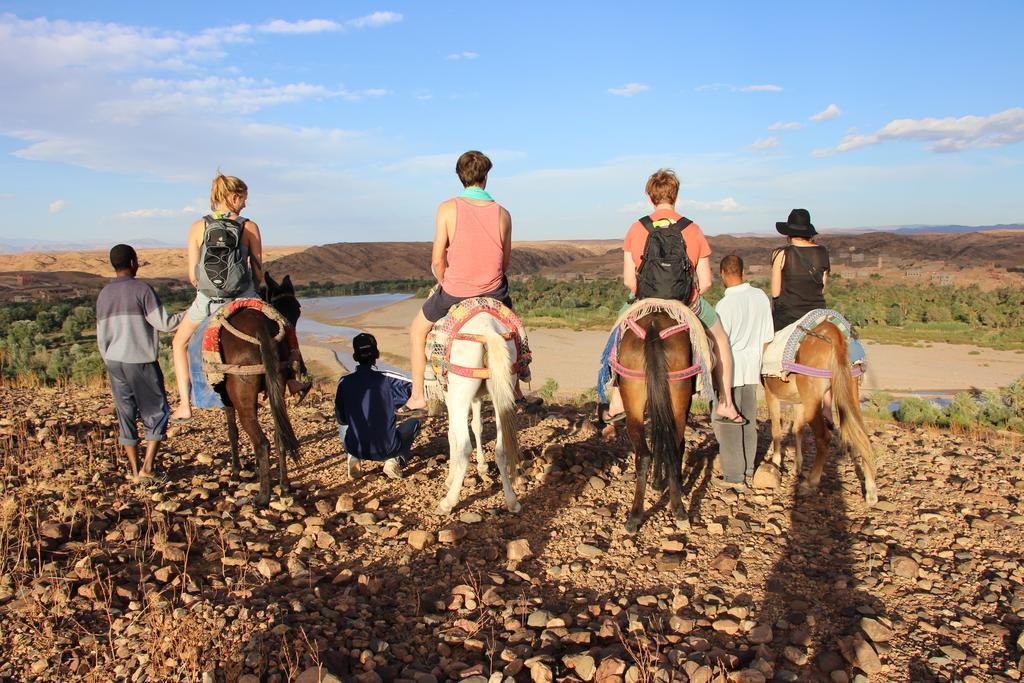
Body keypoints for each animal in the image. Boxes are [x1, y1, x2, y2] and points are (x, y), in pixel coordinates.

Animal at [214, 274, 299, 507]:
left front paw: (235, 472)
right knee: (280, 437)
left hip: (243, 401)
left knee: (262, 443)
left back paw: (263, 495)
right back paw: (285, 486)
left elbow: (232, 432)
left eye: (297, 310)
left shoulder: (225, 398)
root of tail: (260, 327)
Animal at [432, 309, 520, 511]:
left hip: (460, 394)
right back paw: (512, 501)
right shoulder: (477, 396)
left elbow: (452, 435)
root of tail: (488, 331)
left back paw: (448, 502)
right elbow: (477, 426)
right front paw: (482, 467)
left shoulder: (449, 396)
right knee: (501, 448)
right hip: (501, 389)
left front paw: (449, 479)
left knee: (464, 447)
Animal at [610, 311, 700, 532]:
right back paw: (678, 509)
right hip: (678, 402)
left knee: (644, 456)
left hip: (633, 401)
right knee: (672, 449)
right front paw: (664, 483)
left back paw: (634, 516)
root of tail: (653, 324)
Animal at [761, 323, 880, 505]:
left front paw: (775, 463)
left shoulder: (771, 394)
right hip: (850, 389)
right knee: (862, 436)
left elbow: (776, 429)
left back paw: (810, 483)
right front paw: (797, 466)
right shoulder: (799, 402)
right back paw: (871, 491)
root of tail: (835, 334)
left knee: (824, 437)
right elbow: (797, 430)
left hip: (813, 399)